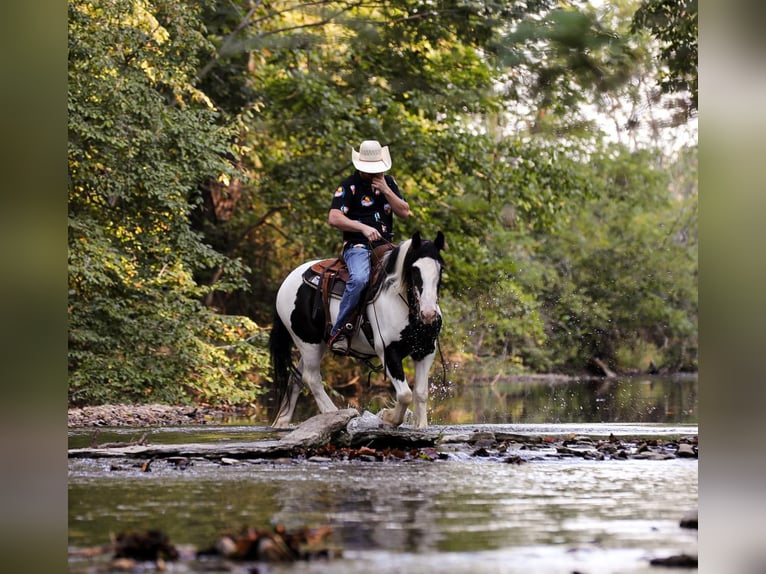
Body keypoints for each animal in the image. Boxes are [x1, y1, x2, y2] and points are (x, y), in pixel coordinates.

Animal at [269, 231, 446, 429]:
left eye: (440, 269)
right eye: (414, 269)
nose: (429, 313)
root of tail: (286, 282)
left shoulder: (425, 351)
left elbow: (420, 393)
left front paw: (421, 426)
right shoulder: (388, 351)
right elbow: (405, 394)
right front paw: (387, 416)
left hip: (316, 344)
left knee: (297, 377)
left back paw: (282, 422)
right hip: (308, 342)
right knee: (311, 378)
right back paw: (333, 413)